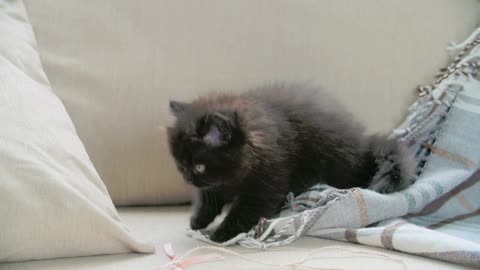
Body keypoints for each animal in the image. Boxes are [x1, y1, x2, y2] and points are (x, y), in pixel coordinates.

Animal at [167, 83, 414, 243]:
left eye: (199, 166)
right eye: (180, 164)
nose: (187, 178)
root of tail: (365, 146)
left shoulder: (268, 182)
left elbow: (244, 211)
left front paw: (222, 233)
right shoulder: (217, 185)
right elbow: (207, 198)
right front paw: (198, 220)